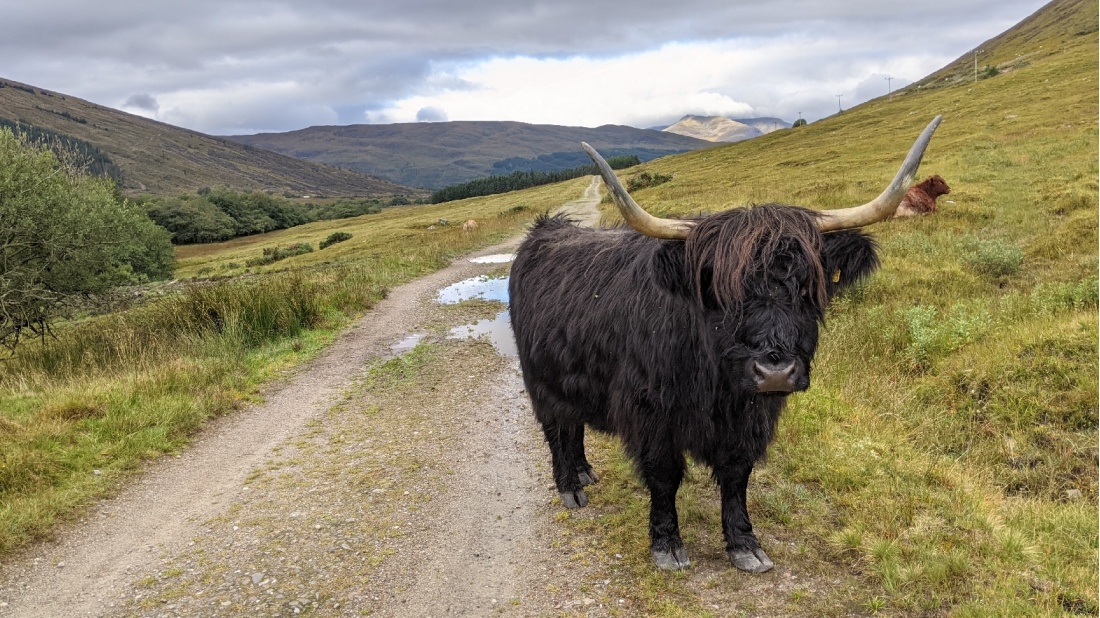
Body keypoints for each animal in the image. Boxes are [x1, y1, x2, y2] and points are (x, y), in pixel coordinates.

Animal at [510, 117, 941, 571]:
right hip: (539, 380)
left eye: (808, 287)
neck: (717, 384)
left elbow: (736, 475)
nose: (775, 371)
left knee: (573, 425)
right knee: (556, 428)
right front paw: (667, 546)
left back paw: (583, 472)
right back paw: (570, 488)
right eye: (720, 292)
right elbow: (664, 476)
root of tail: (544, 230)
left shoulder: (750, 419)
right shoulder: (652, 415)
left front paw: (745, 545)